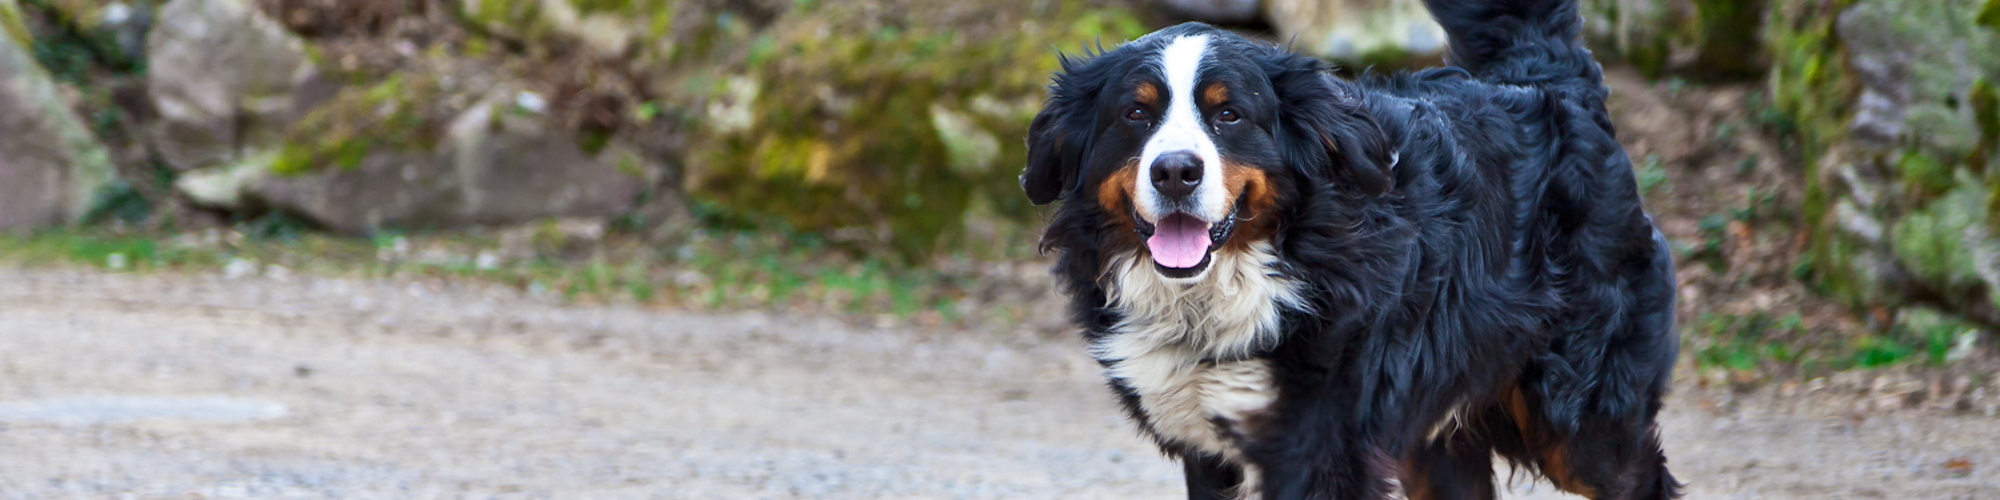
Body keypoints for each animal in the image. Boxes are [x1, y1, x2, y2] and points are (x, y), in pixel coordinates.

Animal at [1016, 0, 1688, 496]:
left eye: (1229, 114)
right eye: (1135, 114)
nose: (1176, 171)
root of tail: (1541, 76)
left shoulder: (1318, 448)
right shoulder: (1211, 452)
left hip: (1576, 414)